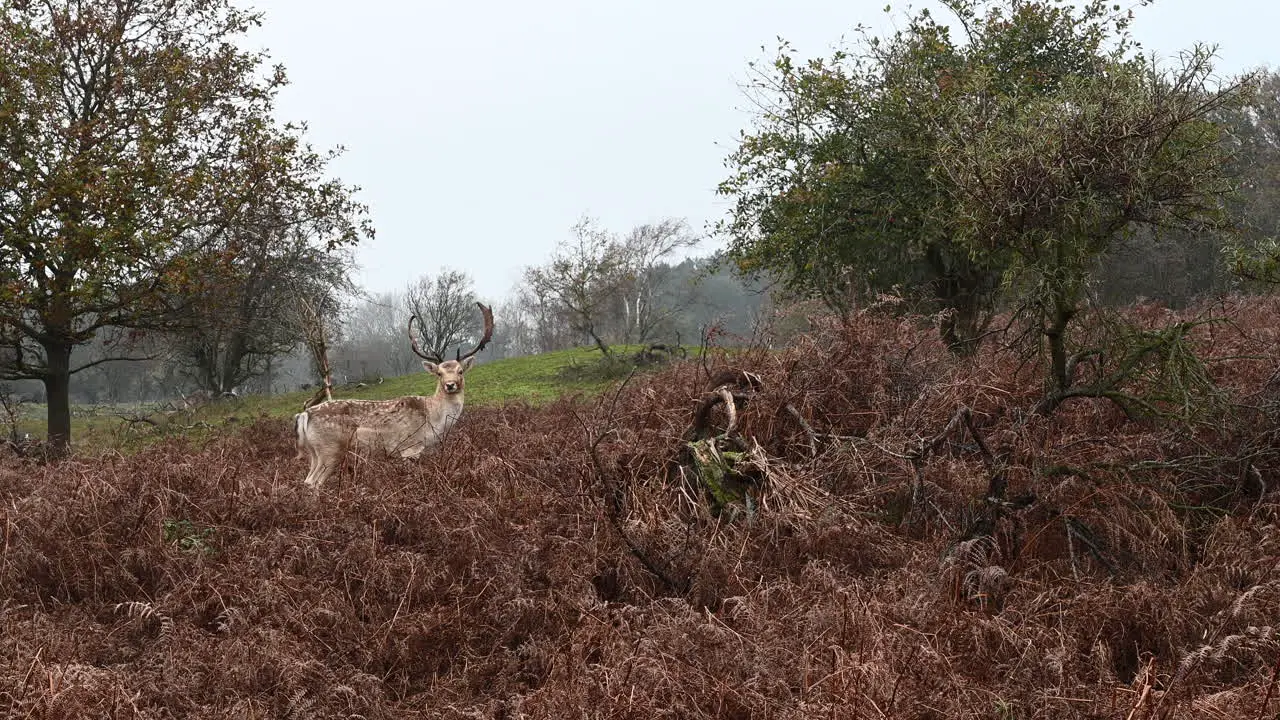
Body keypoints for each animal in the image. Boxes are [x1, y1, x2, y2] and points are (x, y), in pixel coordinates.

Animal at [293, 299, 491, 484]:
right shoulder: (410, 447)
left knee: (307, 481)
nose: (450, 385)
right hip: (330, 449)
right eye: (439, 373)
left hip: (315, 452)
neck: (433, 418)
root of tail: (304, 415)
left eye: (460, 371)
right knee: (314, 482)